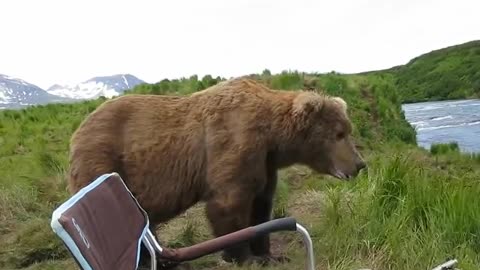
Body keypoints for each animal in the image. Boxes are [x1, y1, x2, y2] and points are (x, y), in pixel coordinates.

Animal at [67, 77, 366, 266]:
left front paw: (270, 254)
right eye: (339, 134)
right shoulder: (234, 144)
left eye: (347, 130)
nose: (360, 164)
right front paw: (244, 257)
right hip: (104, 160)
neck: (273, 137)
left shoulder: (265, 163)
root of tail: (77, 131)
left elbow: (261, 206)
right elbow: (228, 204)